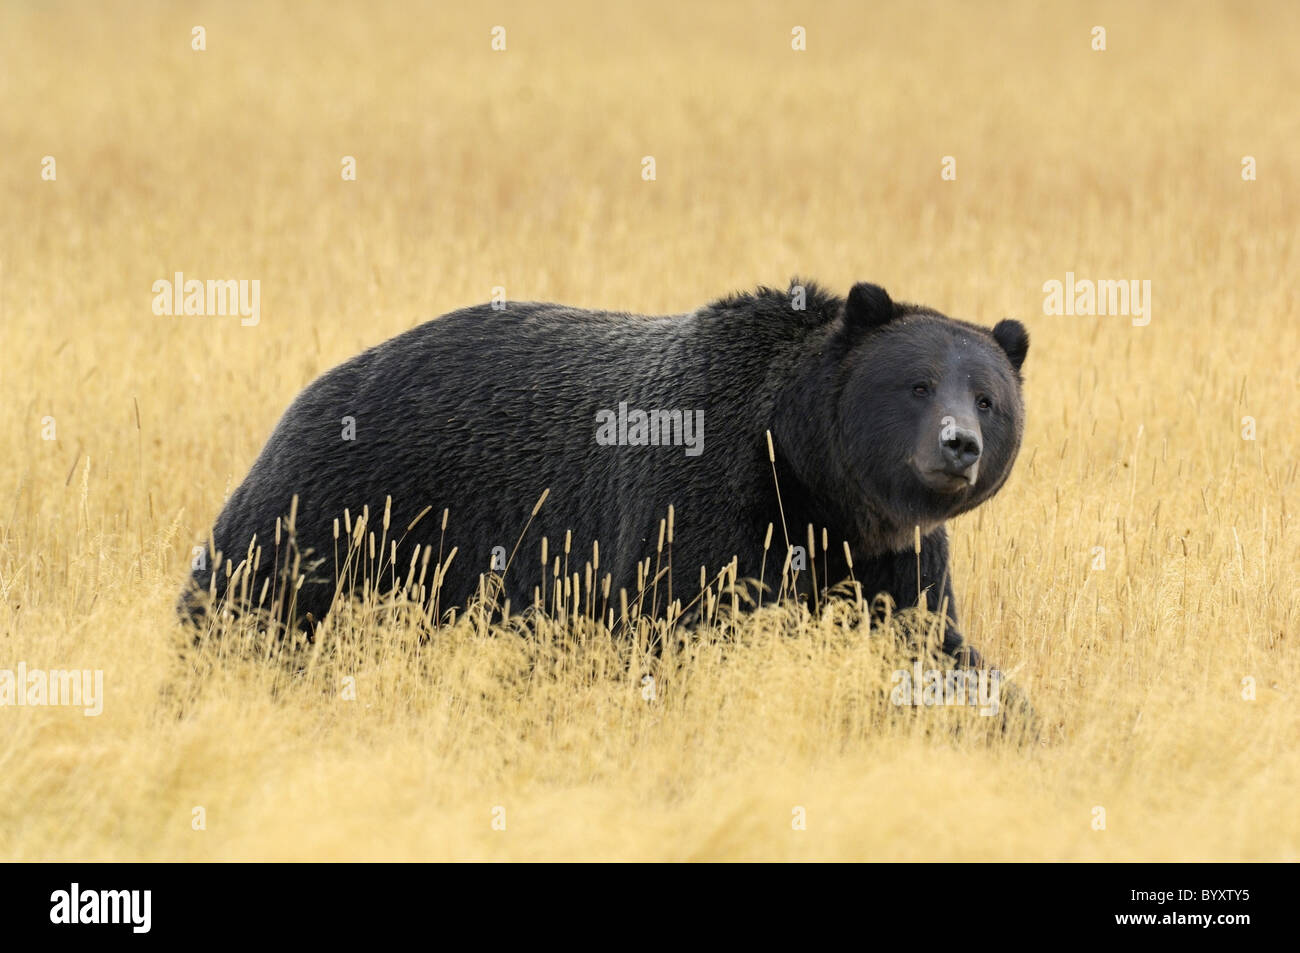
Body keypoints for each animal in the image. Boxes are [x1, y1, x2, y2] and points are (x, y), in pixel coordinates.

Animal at [181, 280, 1029, 680]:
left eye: (988, 396)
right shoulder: (703, 501)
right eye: (918, 384)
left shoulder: (887, 553)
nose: (959, 445)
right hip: (345, 501)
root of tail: (321, 383)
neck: (805, 476)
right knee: (251, 594)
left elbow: (932, 641)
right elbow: (680, 624)